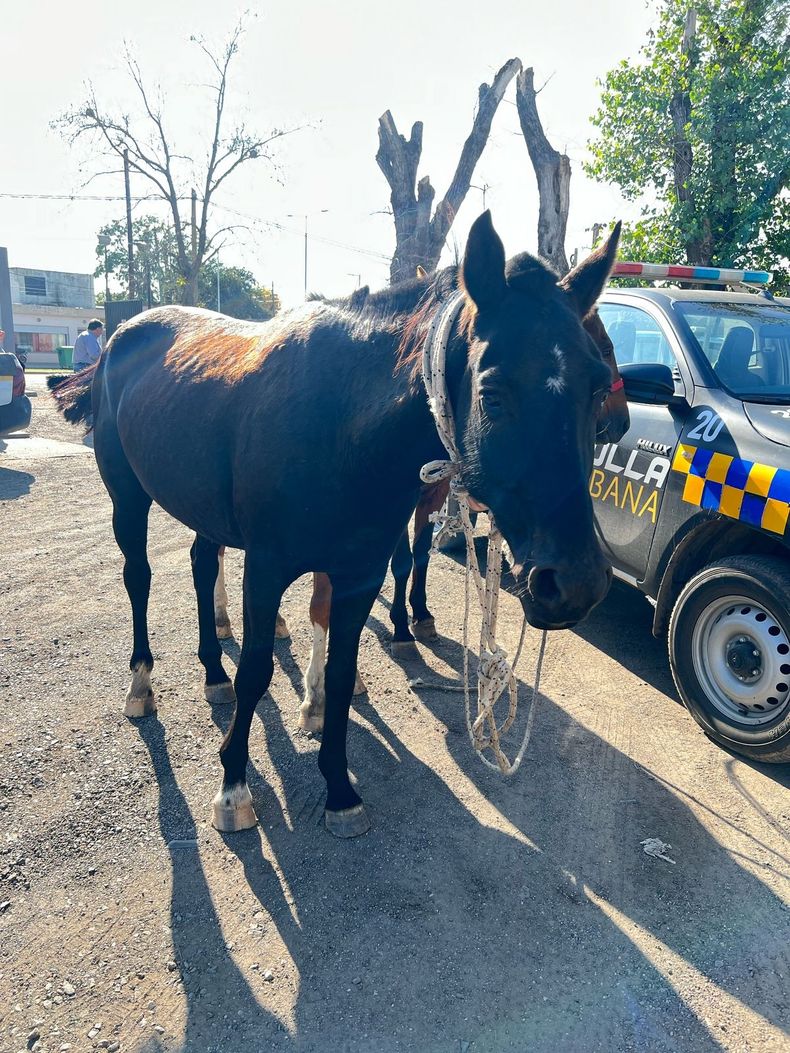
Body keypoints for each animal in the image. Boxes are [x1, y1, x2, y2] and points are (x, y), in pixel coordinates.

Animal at [50, 211, 620, 838]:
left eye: (596, 384)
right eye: (492, 390)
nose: (577, 583)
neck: (339, 420)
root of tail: (121, 337)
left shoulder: (357, 574)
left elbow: (343, 672)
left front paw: (339, 787)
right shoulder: (266, 567)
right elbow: (256, 670)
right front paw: (233, 787)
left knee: (201, 566)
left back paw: (212, 672)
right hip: (128, 498)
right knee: (140, 578)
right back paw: (141, 685)